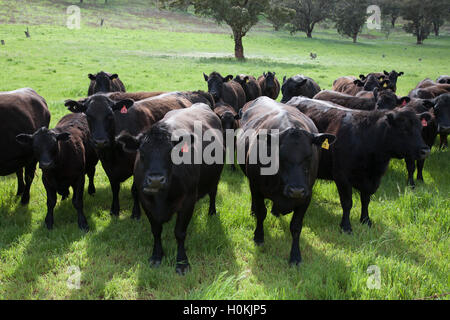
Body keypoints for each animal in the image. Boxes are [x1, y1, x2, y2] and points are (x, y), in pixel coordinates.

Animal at [117, 104, 224, 274]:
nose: (155, 180)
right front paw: (157, 255)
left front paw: (182, 262)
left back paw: (212, 212)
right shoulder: (145, 201)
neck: (162, 198)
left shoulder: (188, 201)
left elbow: (180, 233)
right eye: (142, 152)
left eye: (171, 152)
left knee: (213, 193)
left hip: (215, 177)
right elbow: (156, 230)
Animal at [237, 97, 336, 264]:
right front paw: (258, 236)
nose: (296, 190)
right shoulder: (256, 187)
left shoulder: (306, 196)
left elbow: (296, 226)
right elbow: (261, 213)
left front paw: (295, 255)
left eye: (310, 156)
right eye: (281, 156)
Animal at [286, 96, 430, 234]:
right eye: (404, 129)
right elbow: (347, 203)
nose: (425, 150)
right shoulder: (342, 177)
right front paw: (346, 227)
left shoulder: (373, 180)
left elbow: (365, 200)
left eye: (421, 128)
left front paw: (366, 220)